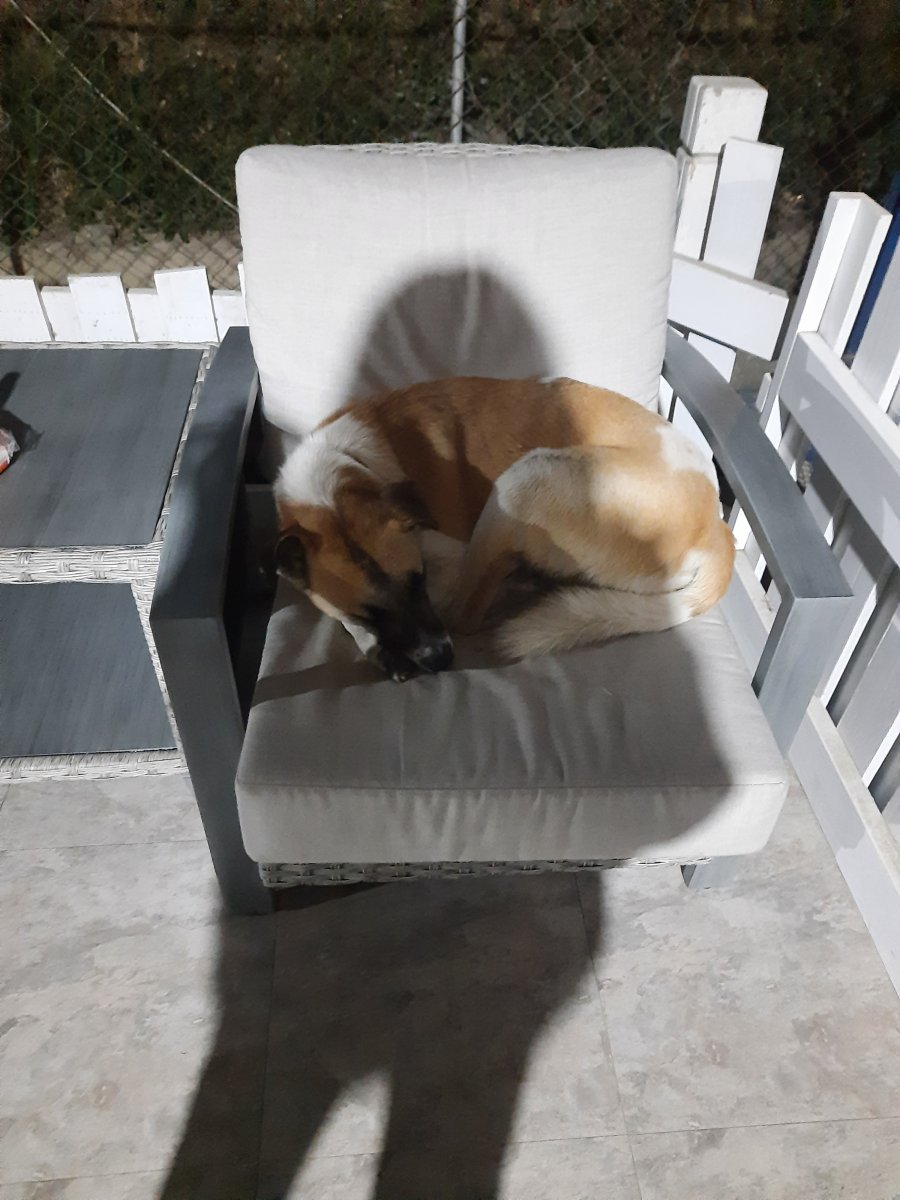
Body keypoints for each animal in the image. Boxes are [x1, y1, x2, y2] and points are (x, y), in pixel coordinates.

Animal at [274, 376, 735, 681]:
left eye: (417, 581)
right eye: (366, 610)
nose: (442, 661)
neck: (344, 467)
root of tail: (715, 528)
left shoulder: (450, 558)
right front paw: (376, 645)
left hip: (525, 478)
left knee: (467, 615)